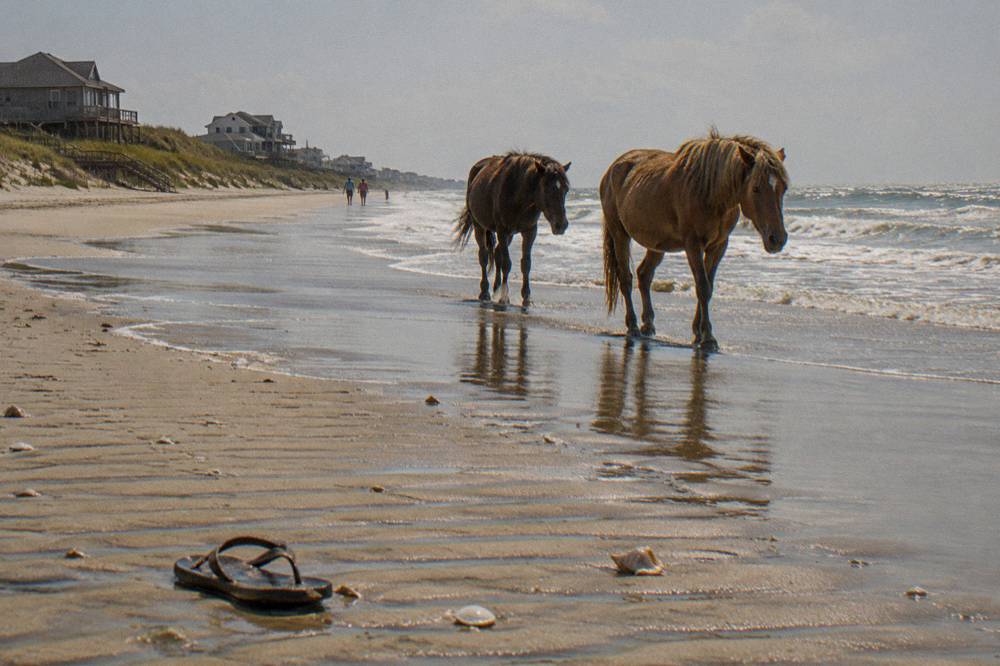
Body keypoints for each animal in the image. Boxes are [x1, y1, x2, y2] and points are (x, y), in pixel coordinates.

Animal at [454, 152, 571, 307]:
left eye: (566, 189)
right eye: (547, 187)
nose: (561, 224)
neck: (519, 195)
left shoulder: (529, 231)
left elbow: (526, 264)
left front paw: (526, 297)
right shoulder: (503, 230)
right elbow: (507, 263)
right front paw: (504, 297)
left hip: (509, 234)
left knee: (497, 254)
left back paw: (496, 289)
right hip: (480, 226)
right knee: (484, 256)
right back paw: (485, 292)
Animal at [600, 130, 788, 352]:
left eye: (783, 188)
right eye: (756, 188)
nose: (777, 239)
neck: (710, 192)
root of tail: (613, 169)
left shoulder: (718, 246)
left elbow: (708, 286)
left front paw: (698, 333)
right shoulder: (693, 245)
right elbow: (702, 287)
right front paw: (707, 338)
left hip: (657, 244)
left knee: (644, 275)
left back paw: (648, 324)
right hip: (619, 234)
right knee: (626, 278)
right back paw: (633, 326)